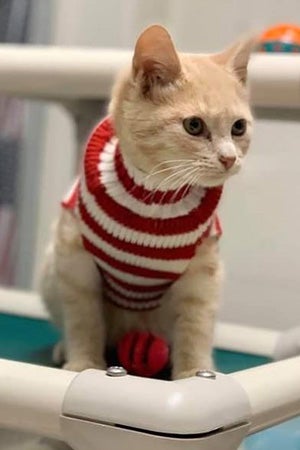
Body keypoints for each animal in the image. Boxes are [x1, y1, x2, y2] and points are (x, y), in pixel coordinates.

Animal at [39, 24, 254, 380]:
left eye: (239, 127)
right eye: (194, 125)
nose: (228, 158)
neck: (155, 194)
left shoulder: (203, 273)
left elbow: (196, 326)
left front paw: (195, 374)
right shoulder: (74, 258)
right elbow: (84, 318)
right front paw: (84, 362)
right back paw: (64, 347)